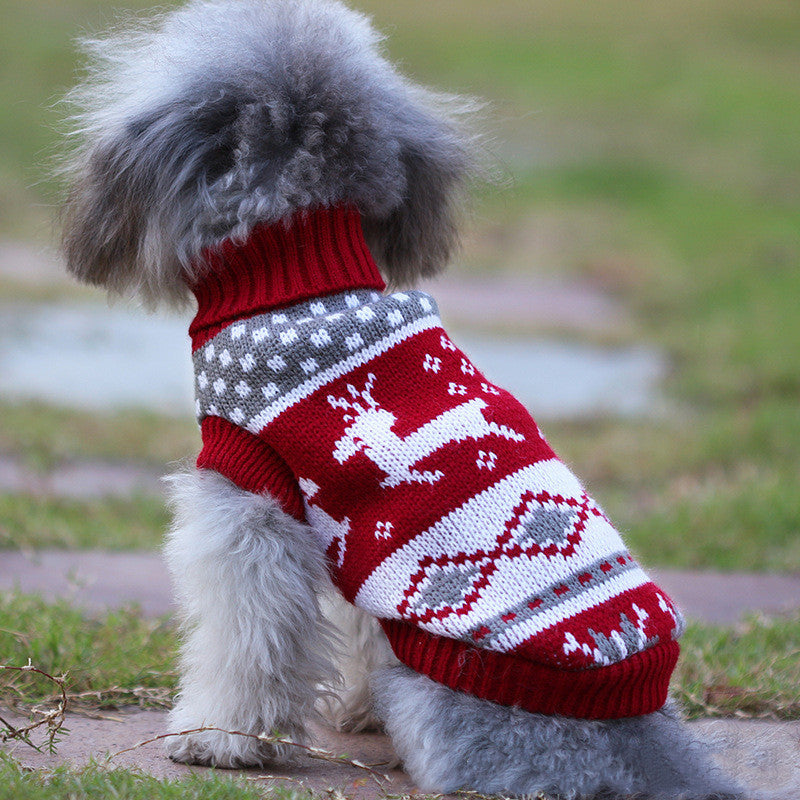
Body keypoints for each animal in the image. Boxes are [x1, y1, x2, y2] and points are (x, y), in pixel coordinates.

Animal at [61, 1, 744, 800]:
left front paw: (217, 740)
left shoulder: (251, 496)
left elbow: (247, 638)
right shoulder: (350, 539)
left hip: (437, 692)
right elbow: (359, 623)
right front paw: (348, 713)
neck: (300, 275)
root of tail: (642, 734)